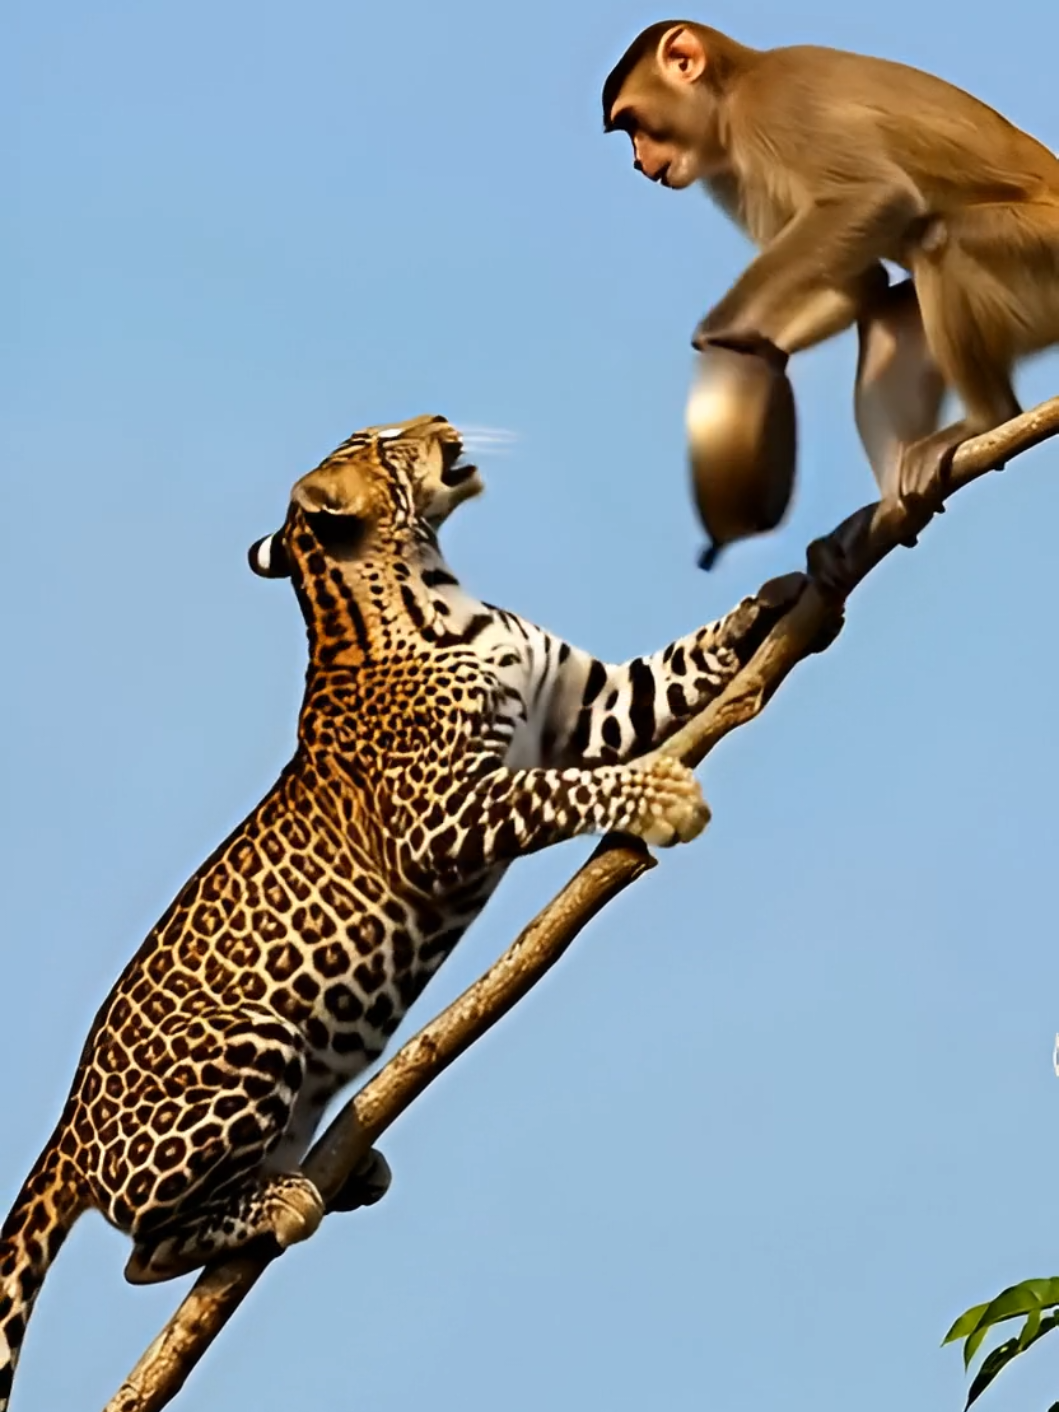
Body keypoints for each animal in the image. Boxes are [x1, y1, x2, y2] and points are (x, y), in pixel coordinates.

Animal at [602, 21, 1059, 584]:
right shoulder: (729, 171)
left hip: (1043, 253)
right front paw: (760, 347)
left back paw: (988, 419)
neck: (735, 87)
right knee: (890, 314)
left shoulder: (772, 110)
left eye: (633, 122)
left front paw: (719, 330)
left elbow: (877, 199)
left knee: (938, 239)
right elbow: (860, 284)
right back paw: (887, 512)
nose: (639, 161)